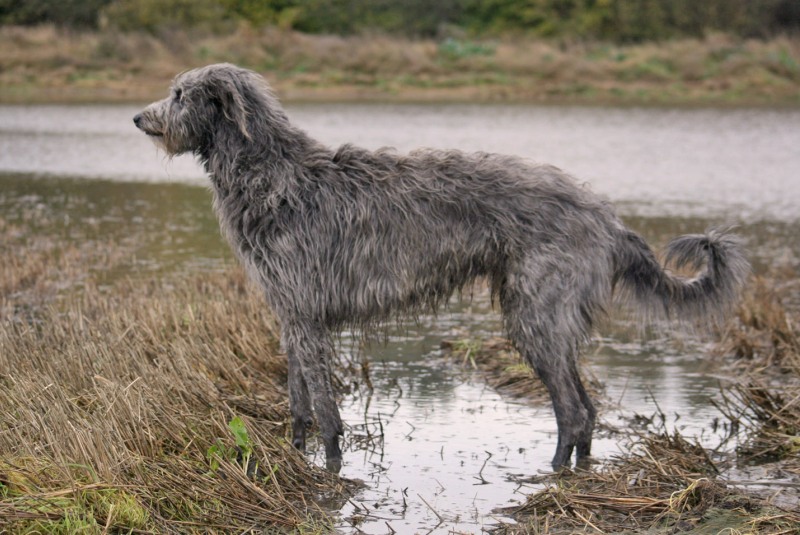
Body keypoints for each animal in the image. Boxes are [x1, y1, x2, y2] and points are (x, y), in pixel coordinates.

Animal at [133, 63, 752, 474]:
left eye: (180, 94)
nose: (138, 117)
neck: (275, 174)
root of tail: (606, 214)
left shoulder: (306, 314)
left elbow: (327, 410)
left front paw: (331, 465)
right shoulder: (290, 314)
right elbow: (299, 402)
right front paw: (295, 454)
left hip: (535, 313)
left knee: (574, 410)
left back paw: (550, 472)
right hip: (549, 317)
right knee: (587, 408)